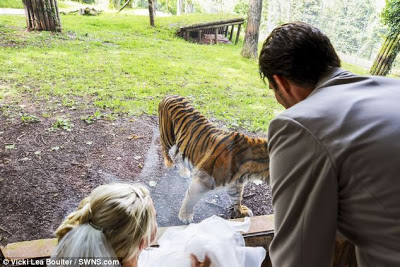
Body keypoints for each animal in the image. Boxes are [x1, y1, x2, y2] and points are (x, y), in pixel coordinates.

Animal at [158, 96, 270, 224]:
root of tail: (168, 96)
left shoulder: (235, 184)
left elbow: (237, 199)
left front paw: (241, 211)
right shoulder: (202, 179)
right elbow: (191, 198)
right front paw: (185, 216)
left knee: (177, 155)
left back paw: (184, 172)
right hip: (168, 136)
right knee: (164, 148)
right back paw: (169, 163)